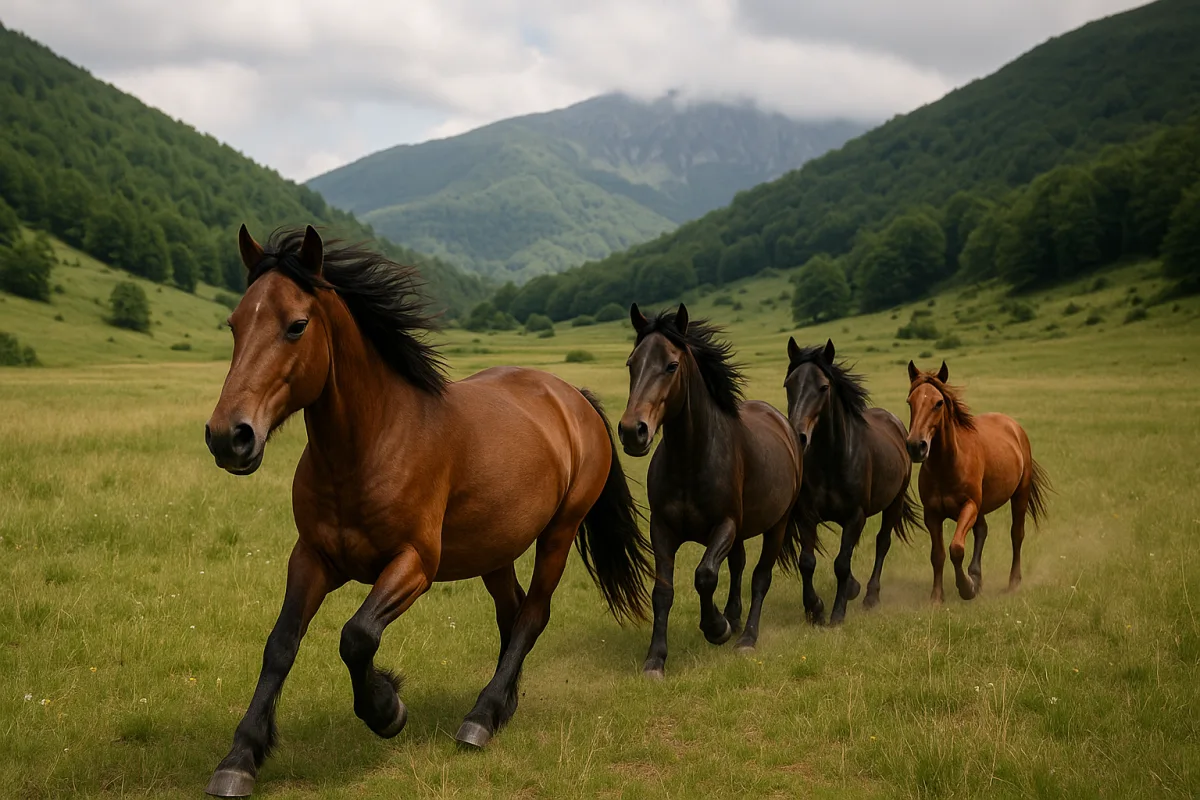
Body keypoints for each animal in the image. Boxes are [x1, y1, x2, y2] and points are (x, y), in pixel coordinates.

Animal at [201, 224, 651, 797]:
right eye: (234, 324)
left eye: (296, 326)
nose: (228, 437)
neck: (371, 445)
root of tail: (570, 396)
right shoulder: (310, 559)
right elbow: (280, 644)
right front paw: (240, 757)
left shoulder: (414, 564)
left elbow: (357, 636)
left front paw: (386, 708)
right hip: (494, 550)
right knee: (512, 614)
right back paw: (501, 707)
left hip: (559, 533)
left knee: (533, 615)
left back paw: (480, 718)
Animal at [617, 303, 802, 678]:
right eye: (631, 363)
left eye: (671, 365)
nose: (632, 431)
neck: (691, 459)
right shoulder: (662, 529)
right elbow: (663, 592)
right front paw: (655, 659)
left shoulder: (725, 525)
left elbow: (705, 575)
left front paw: (716, 628)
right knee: (739, 565)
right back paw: (733, 616)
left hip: (777, 525)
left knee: (760, 577)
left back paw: (745, 637)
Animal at [782, 338, 919, 625]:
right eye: (789, 384)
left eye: (823, 387)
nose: (798, 436)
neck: (832, 459)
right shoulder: (807, 515)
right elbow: (807, 561)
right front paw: (815, 610)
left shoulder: (855, 516)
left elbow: (842, 563)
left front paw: (837, 614)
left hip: (894, 503)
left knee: (882, 543)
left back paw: (870, 596)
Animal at [905, 360, 1050, 603]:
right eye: (910, 402)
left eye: (938, 403)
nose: (916, 446)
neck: (947, 465)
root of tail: (1014, 426)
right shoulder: (932, 514)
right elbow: (938, 554)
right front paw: (937, 597)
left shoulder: (969, 506)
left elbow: (956, 549)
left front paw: (966, 588)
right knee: (982, 531)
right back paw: (977, 576)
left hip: (1019, 495)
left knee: (1016, 535)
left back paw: (1012, 583)